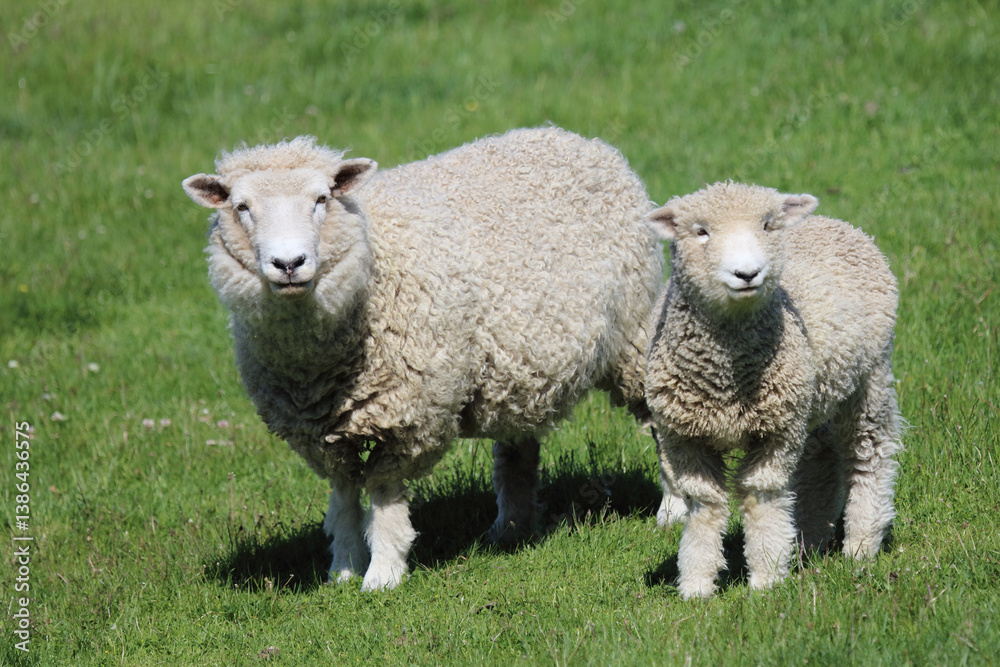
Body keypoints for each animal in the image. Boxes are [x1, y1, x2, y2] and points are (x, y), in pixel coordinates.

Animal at [181, 127, 669, 591]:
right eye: (242, 207)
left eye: (322, 199)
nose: (289, 263)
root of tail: (580, 141)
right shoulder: (321, 430)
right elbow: (344, 495)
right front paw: (342, 569)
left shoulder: (407, 416)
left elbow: (382, 494)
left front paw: (383, 574)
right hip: (520, 368)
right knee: (517, 449)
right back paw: (511, 526)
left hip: (634, 330)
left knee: (658, 414)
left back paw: (671, 510)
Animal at [644, 181, 902, 599]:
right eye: (701, 231)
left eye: (767, 225)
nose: (747, 273)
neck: (726, 378)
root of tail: (836, 223)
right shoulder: (684, 436)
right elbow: (704, 504)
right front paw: (696, 584)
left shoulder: (775, 432)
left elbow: (761, 498)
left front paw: (766, 578)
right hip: (813, 394)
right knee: (820, 460)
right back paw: (809, 540)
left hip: (870, 377)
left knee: (869, 453)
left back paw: (861, 543)